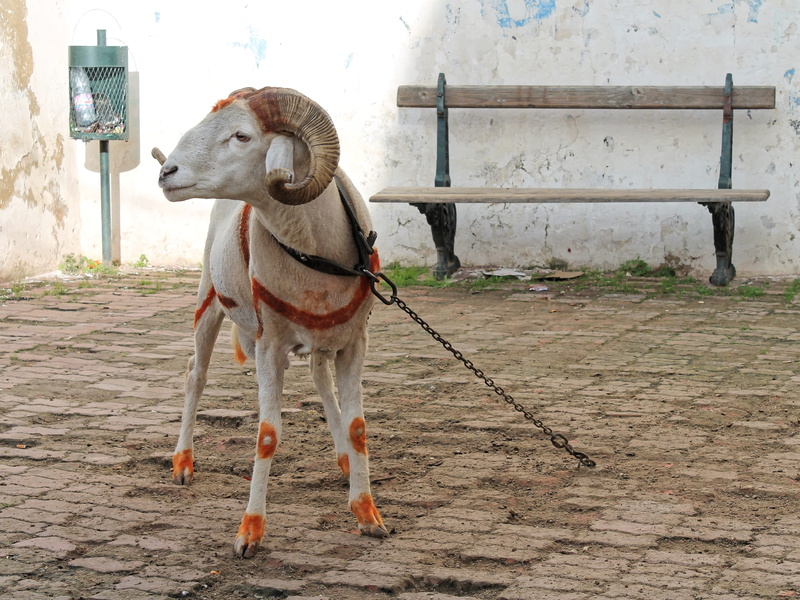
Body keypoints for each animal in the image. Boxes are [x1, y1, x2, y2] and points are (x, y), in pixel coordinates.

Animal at [152, 86, 387, 558]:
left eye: (241, 135)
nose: (167, 172)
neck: (317, 254)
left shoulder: (355, 343)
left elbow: (357, 427)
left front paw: (367, 513)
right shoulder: (269, 344)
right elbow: (266, 434)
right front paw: (250, 531)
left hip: (323, 338)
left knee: (319, 378)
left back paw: (343, 462)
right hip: (208, 302)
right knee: (195, 375)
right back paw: (183, 463)